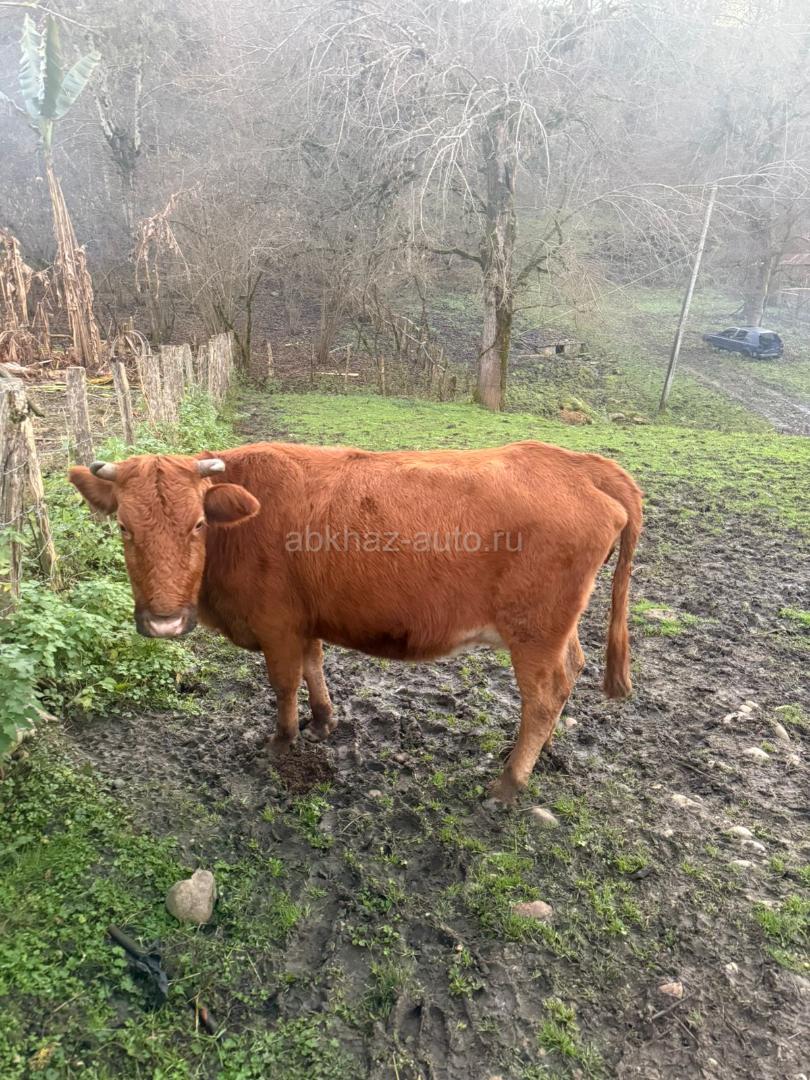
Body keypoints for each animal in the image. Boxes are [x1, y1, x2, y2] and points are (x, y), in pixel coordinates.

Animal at [69, 439, 642, 804]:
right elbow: (314, 667)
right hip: (556, 630)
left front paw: (283, 740)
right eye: (124, 527)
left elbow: (284, 684)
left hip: (534, 632)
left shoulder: (277, 625)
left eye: (197, 524)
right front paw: (324, 720)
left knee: (545, 694)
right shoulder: (304, 621)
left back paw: (509, 781)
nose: (164, 622)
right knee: (571, 672)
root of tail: (576, 463)